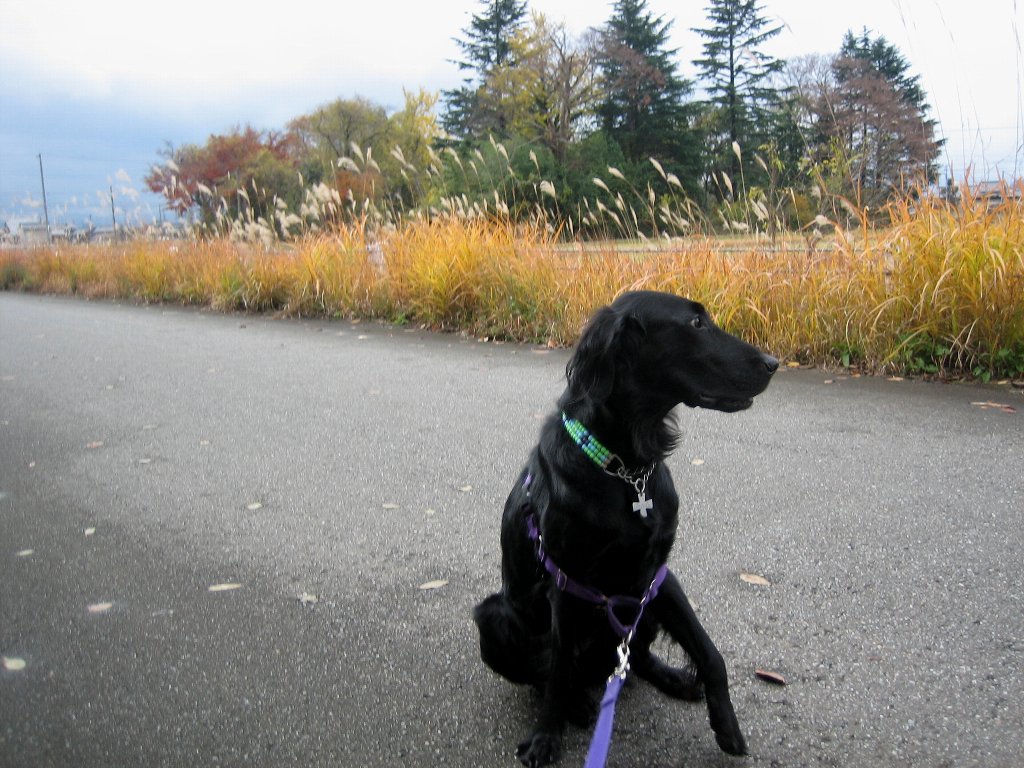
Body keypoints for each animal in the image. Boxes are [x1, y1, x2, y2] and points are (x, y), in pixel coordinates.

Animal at [473, 291, 778, 767]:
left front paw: (727, 726)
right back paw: (579, 704)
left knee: (633, 660)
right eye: (695, 323)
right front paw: (546, 736)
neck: (626, 471)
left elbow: (710, 653)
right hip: (492, 615)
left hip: (640, 609)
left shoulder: (658, 575)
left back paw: (673, 679)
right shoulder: (566, 583)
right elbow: (556, 673)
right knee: (552, 675)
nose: (773, 362)